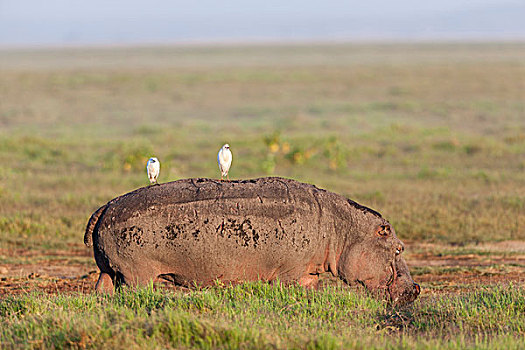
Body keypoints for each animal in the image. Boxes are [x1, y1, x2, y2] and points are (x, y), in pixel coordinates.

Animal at [85, 176, 422, 304]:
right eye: (398, 248)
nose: (416, 289)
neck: (342, 229)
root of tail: (106, 206)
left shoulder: (307, 275)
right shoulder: (289, 275)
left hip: (109, 272)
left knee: (102, 291)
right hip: (137, 277)